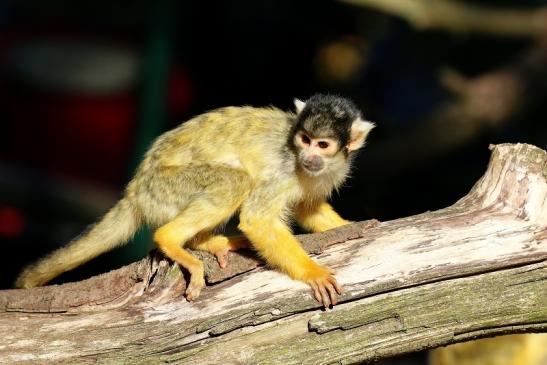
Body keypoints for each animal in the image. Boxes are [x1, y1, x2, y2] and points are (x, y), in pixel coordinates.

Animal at [16, 92, 376, 306]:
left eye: (323, 145)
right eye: (304, 139)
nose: (309, 157)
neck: (306, 163)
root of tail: (135, 191)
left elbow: (308, 208)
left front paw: (355, 224)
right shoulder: (287, 170)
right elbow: (258, 218)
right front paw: (312, 273)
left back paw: (204, 241)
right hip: (166, 187)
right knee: (235, 181)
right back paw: (172, 240)